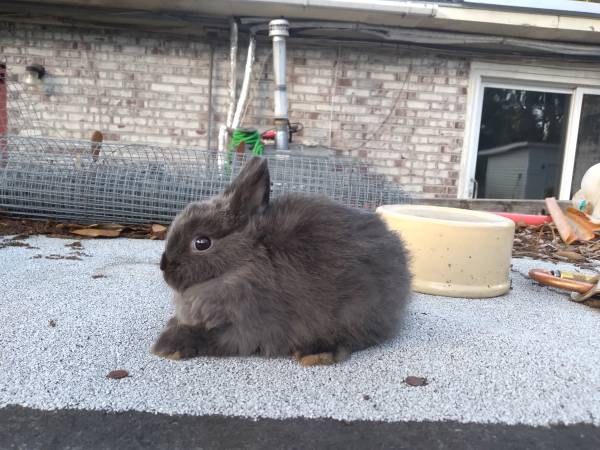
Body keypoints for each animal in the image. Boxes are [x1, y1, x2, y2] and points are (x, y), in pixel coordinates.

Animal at [152, 156, 410, 364]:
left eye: (202, 243)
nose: (164, 267)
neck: (241, 264)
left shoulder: (245, 328)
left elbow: (213, 338)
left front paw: (167, 346)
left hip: (354, 311)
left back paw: (315, 353)